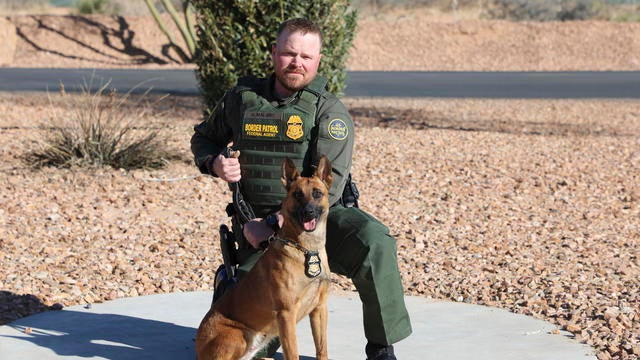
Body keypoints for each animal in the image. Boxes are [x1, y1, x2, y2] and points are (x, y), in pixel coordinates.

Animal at [196, 155, 336, 360]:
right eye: (297, 194)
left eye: (317, 193)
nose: (308, 212)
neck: (306, 249)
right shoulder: (286, 314)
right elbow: (293, 353)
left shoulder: (319, 309)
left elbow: (322, 349)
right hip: (239, 336)